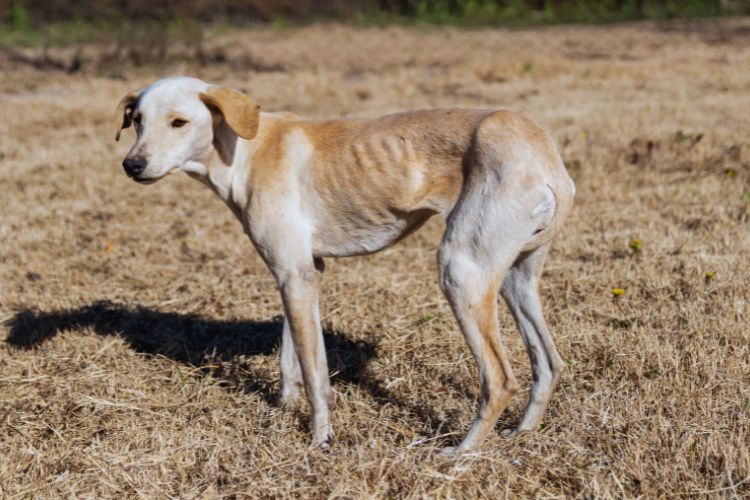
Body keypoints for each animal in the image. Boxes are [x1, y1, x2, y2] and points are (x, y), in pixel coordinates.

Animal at [116, 76, 576, 456]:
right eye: (137, 120)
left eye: (179, 122)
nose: (131, 166)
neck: (246, 149)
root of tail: (543, 152)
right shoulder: (302, 274)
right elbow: (292, 359)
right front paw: (282, 409)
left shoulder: (295, 275)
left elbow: (315, 375)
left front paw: (319, 439)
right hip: (515, 280)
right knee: (548, 364)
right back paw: (523, 432)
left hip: (461, 274)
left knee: (500, 380)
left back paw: (460, 452)